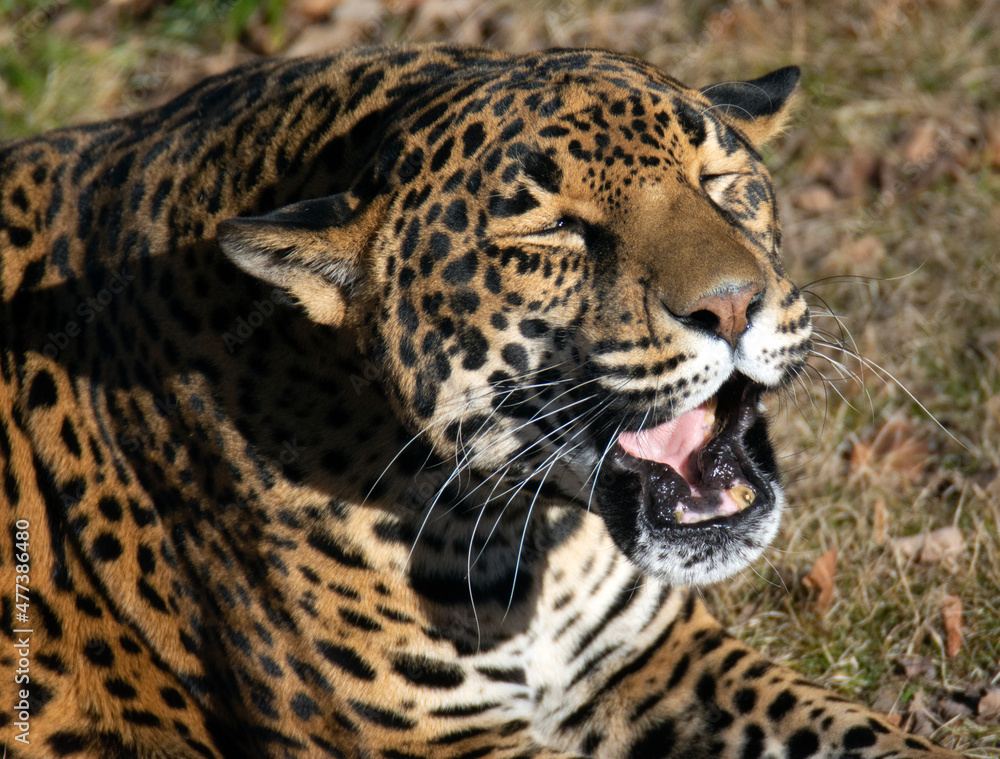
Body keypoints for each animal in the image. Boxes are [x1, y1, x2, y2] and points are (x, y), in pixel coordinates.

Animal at [0, 43, 960, 759]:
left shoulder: (653, 658)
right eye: (553, 230)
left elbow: (861, 730)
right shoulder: (429, 744)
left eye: (721, 181)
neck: (533, 535)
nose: (731, 304)